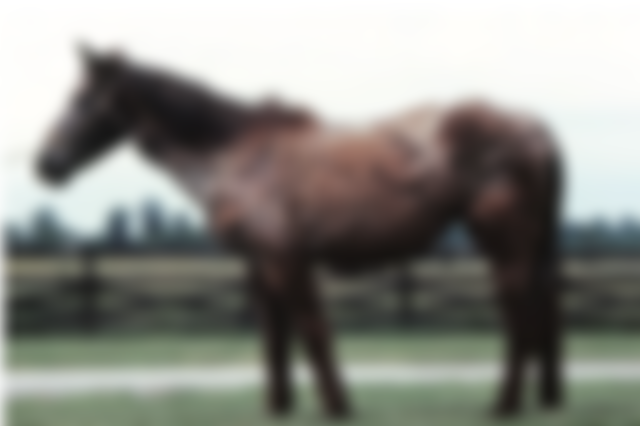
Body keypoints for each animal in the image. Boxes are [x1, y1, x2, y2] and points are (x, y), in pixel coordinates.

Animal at [36, 46, 565, 419]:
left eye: (83, 99)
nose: (46, 164)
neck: (237, 152)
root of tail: (534, 126)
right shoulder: (261, 265)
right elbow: (275, 339)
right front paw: (279, 407)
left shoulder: (286, 259)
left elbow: (312, 333)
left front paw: (338, 408)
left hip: (503, 247)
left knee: (520, 320)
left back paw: (503, 406)